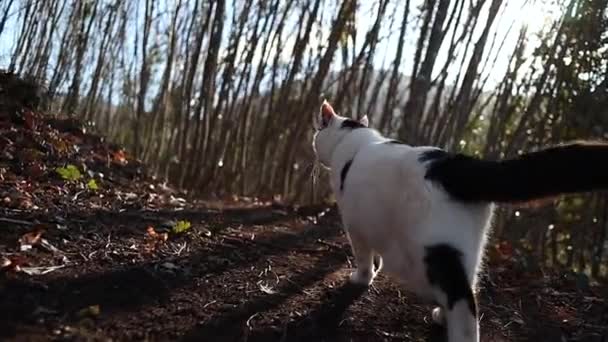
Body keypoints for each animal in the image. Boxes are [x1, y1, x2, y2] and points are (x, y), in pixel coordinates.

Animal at [312, 100, 608, 340]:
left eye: (318, 131)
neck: (355, 138)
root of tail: (457, 164)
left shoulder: (354, 223)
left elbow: (363, 257)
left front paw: (363, 277)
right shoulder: (371, 220)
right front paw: (377, 266)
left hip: (433, 253)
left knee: (463, 303)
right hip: (470, 249)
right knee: (471, 285)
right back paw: (441, 315)